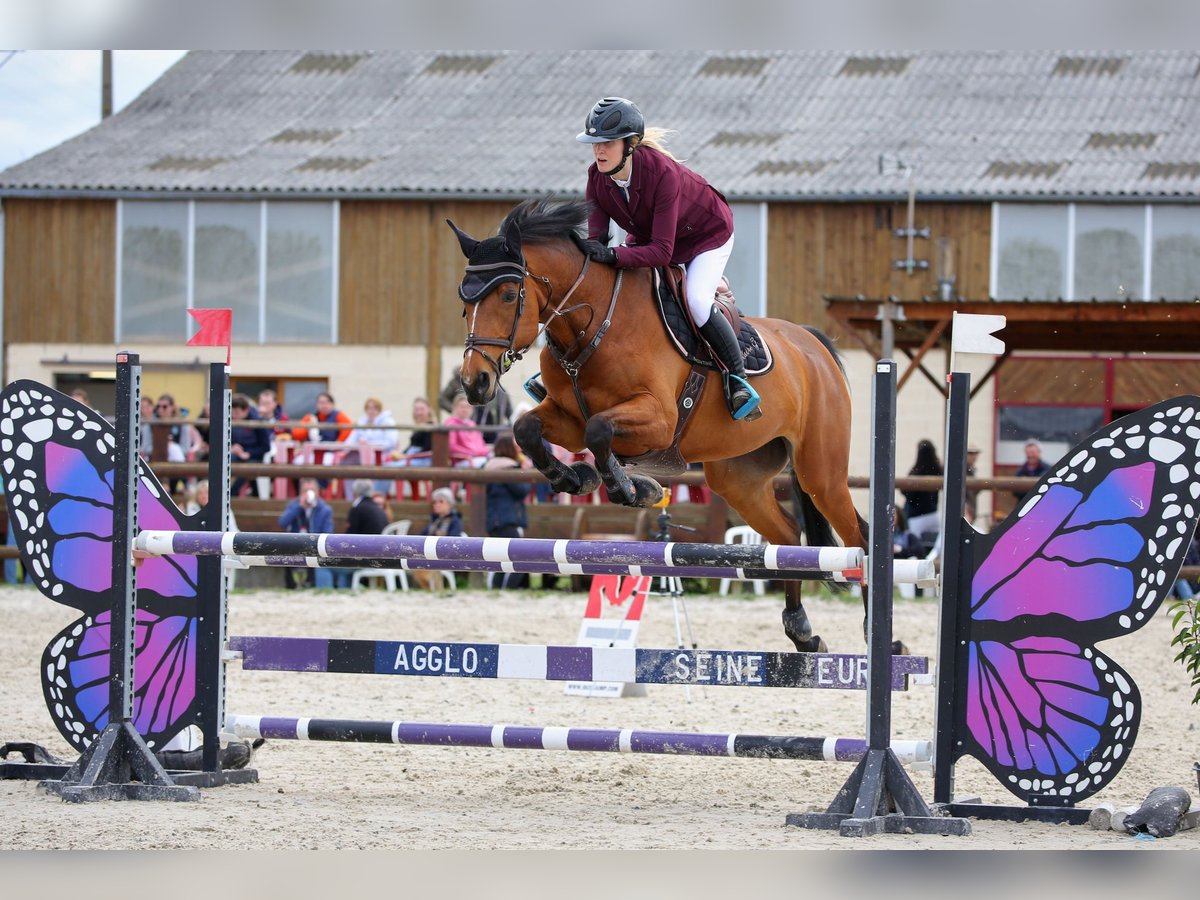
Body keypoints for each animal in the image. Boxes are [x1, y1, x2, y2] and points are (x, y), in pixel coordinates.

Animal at [446, 199, 868, 657]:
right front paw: (575, 478)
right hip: (739, 477)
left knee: (859, 536)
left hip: (819, 472)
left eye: (509, 295)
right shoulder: (566, 418)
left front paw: (631, 488)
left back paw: (873, 630)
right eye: (463, 301)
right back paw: (802, 630)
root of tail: (811, 345)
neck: (592, 325)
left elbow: (599, 431)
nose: (475, 383)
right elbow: (528, 429)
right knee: (790, 535)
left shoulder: (658, 421)